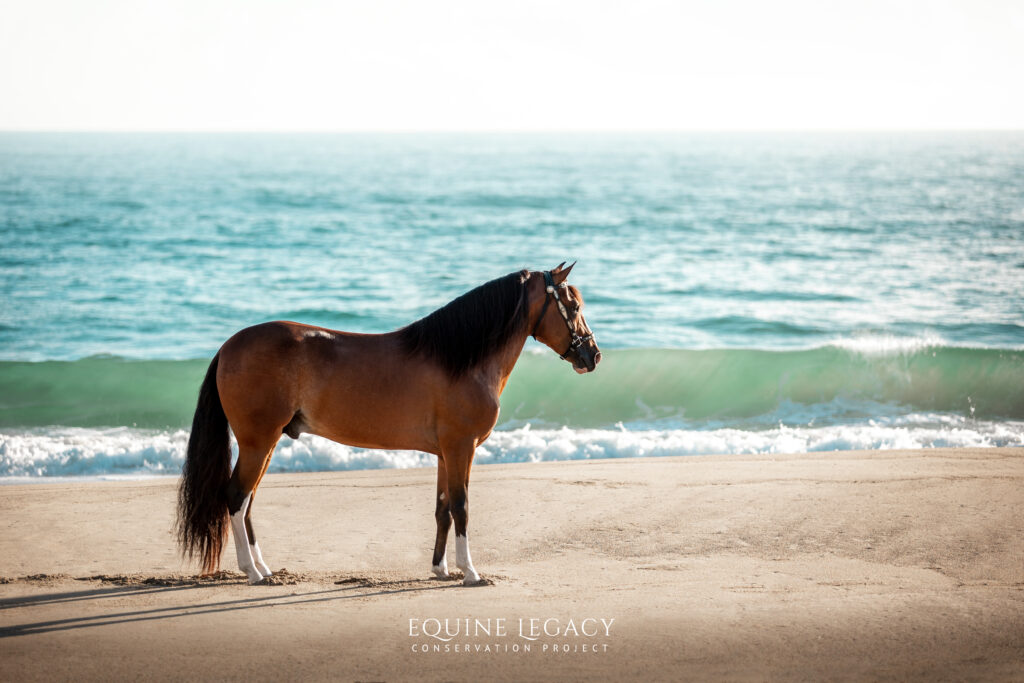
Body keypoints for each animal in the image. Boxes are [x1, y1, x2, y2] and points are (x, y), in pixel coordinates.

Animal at [177, 263, 601, 585]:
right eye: (573, 305)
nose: (593, 356)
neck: (462, 360)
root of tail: (228, 346)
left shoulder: (445, 453)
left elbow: (443, 508)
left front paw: (441, 569)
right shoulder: (461, 448)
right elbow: (462, 507)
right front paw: (469, 572)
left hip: (266, 443)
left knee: (247, 502)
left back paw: (263, 568)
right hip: (257, 441)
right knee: (236, 497)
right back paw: (252, 572)